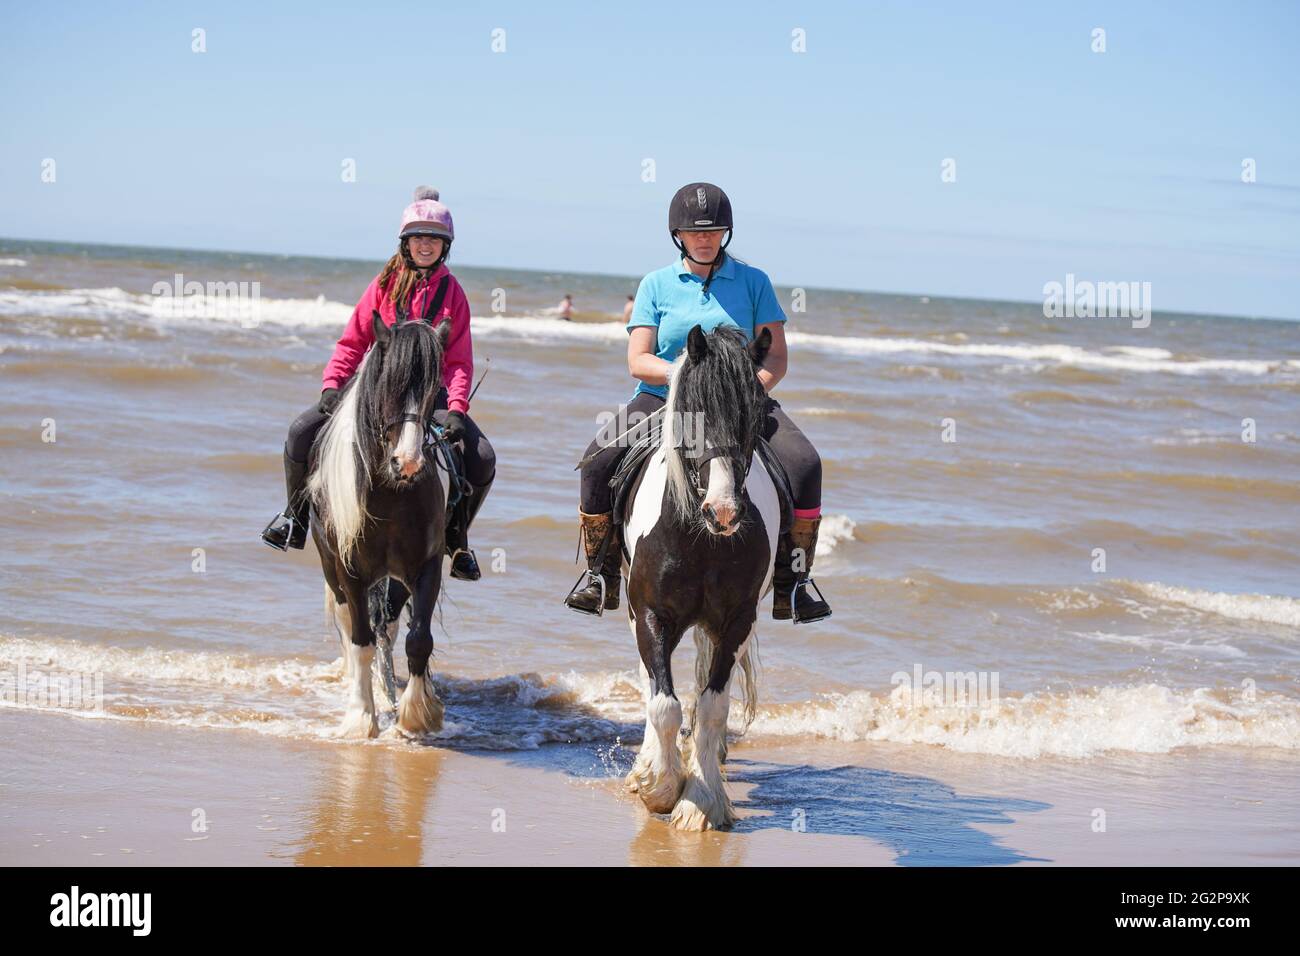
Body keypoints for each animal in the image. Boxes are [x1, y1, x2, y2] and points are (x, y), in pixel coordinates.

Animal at [306, 314, 449, 738]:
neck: (390, 491)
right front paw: (361, 717)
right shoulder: (349, 572)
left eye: (435, 389)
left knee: (388, 627)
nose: (409, 463)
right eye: (391, 384)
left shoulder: (426, 566)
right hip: (333, 572)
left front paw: (416, 714)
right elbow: (360, 642)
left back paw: (388, 692)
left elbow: (418, 639)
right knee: (355, 628)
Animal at [621, 323, 774, 832]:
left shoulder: (736, 622)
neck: (702, 537)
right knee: (651, 682)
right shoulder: (650, 613)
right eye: (692, 414)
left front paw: (702, 800)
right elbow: (663, 703)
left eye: (755, 412)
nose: (723, 511)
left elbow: (711, 705)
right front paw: (660, 788)